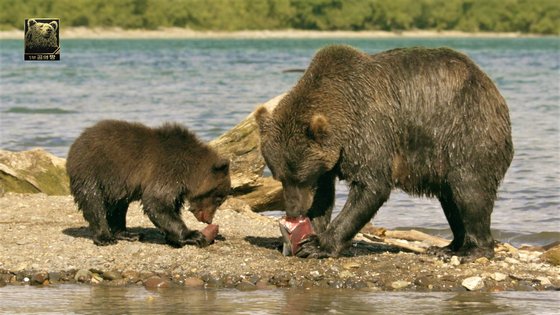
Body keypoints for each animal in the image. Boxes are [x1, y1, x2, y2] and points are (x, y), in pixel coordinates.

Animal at [66, 119, 230, 248]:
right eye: (219, 198)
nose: (209, 220)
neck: (190, 172)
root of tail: (75, 143)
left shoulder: (177, 187)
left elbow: (169, 208)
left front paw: (172, 238)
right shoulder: (168, 170)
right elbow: (156, 202)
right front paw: (194, 235)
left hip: (117, 186)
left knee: (118, 207)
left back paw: (129, 234)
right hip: (93, 170)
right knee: (93, 202)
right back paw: (105, 237)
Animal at [256, 45, 516, 260]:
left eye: (301, 177)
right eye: (280, 176)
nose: (293, 210)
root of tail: (494, 91)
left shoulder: (370, 130)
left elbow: (371, 186)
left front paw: (317, 245)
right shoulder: (330, 159)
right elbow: (324, 195)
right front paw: (308, 233)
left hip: (466, 134)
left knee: (469, 191)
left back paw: (471, 250)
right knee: (450, 200)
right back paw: (447, 246)